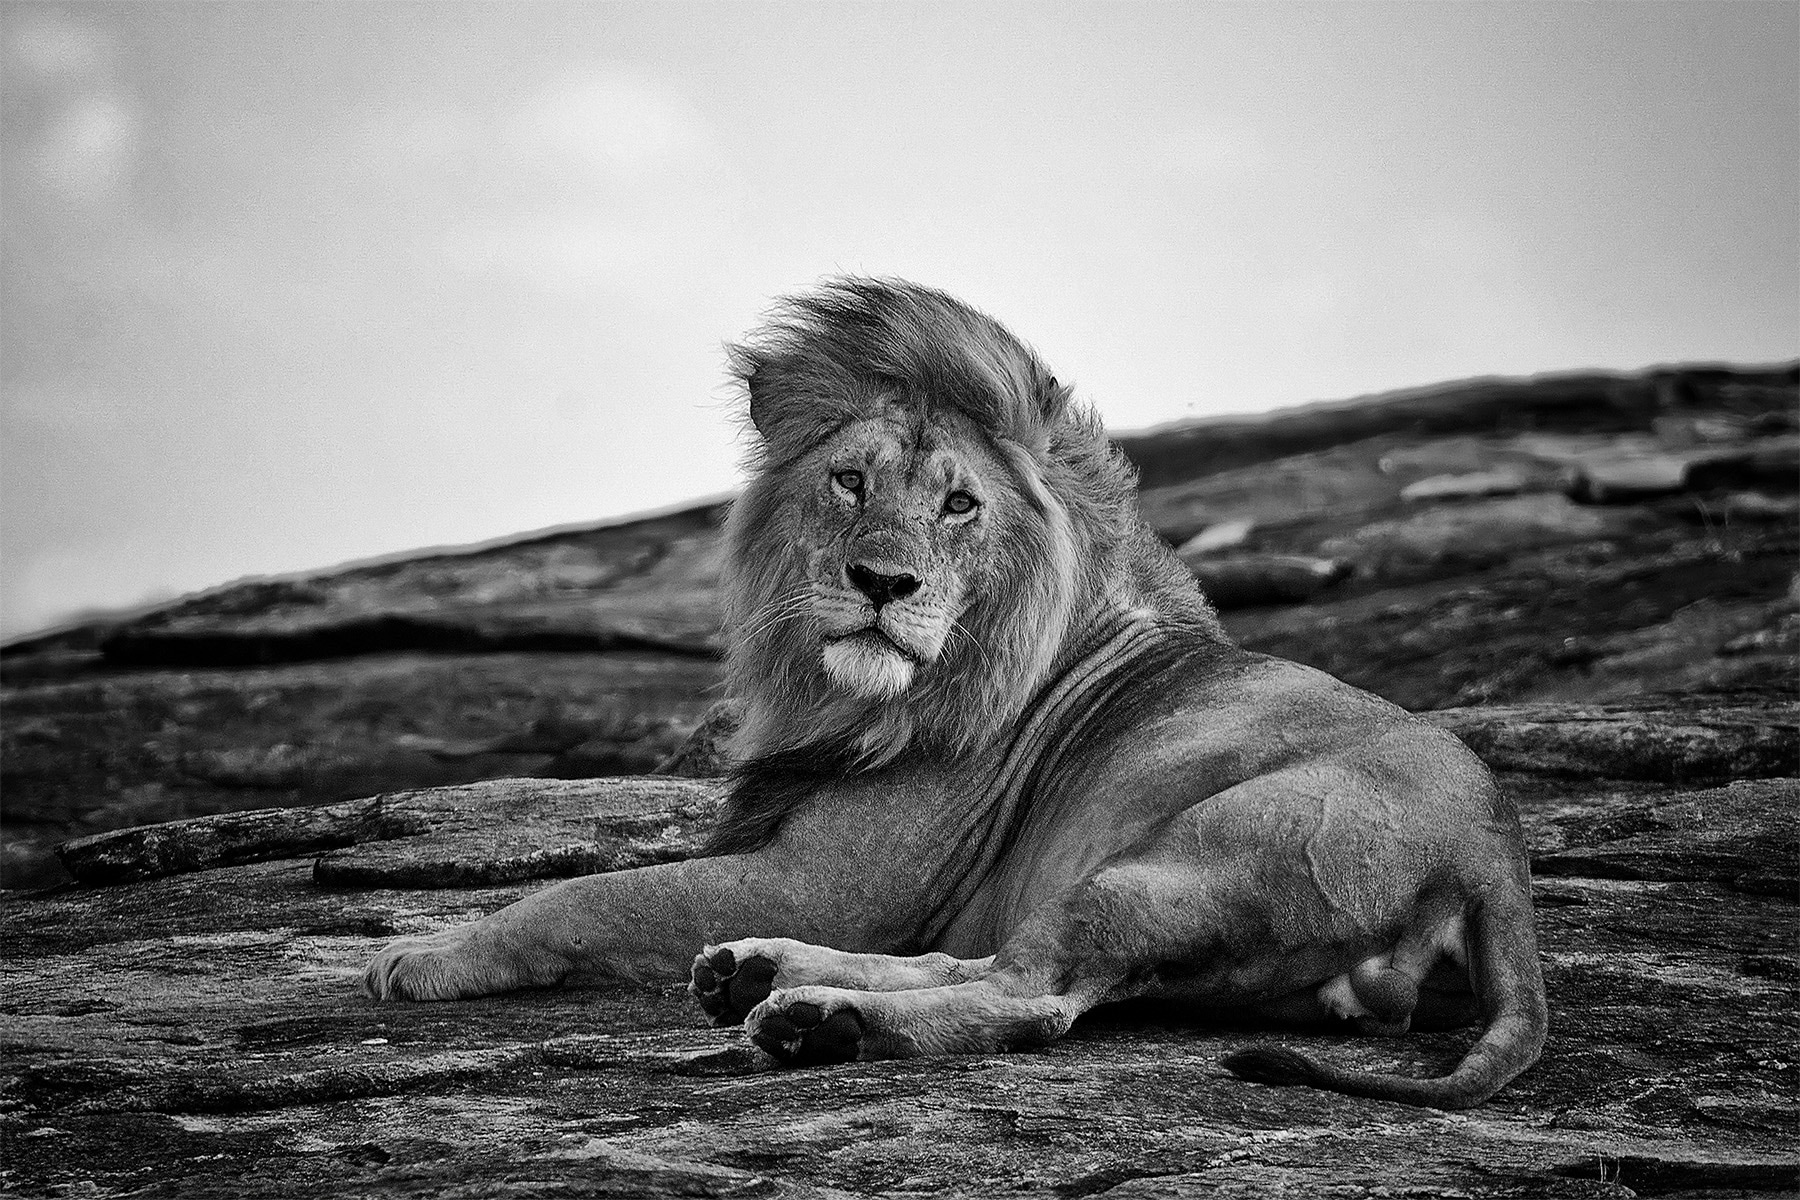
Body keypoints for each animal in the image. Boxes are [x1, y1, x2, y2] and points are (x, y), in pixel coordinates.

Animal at [364, 277, 1547, 1109]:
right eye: (850, 482)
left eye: (959, 505)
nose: (881, 583)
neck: (848, 701)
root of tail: (1494, 854)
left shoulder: (834, 880)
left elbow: (587, 895)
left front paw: (426, 954)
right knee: (983, 961)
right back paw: (759, 972)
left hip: (1179, 858)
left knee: (1029, 1000)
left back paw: (814, 1019)